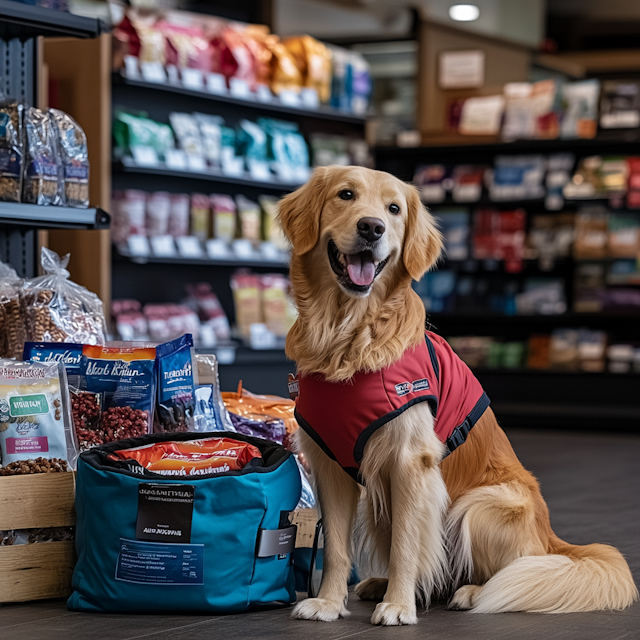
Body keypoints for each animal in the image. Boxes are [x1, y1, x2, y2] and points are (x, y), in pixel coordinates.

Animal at [278, 165, 636, 624]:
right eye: (346, 195)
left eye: (394, 209)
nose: (372, 227)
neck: (348, 335)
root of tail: (552, 539)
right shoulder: (329, 464)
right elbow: (338, 548)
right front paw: (327, 602)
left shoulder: (411, 462)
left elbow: (407, 545)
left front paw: (399, 606)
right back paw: (379, 584)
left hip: (481, 504)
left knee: (516, 568)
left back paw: (469, 591)